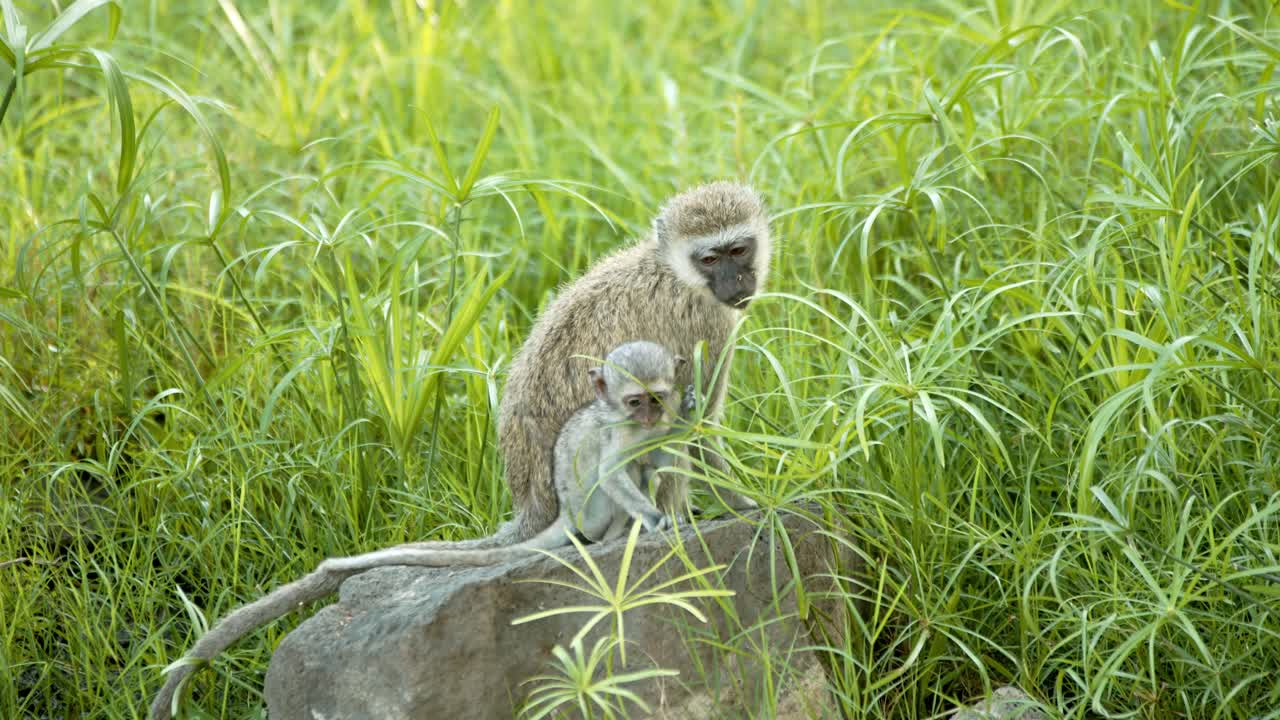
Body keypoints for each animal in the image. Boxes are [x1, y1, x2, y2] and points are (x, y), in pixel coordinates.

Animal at [151, 341, 688, 720]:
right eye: (635, 401)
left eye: (657, 398)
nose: (650, 415)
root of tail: (566, 515)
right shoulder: (618, 433)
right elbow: (614, 469)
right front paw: (654, 518)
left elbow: (660, 460)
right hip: (587, 509)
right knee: (604, 480)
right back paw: (615, 534)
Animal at [495, 180, 770, 546]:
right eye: (710, 259)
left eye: (738, 251)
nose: (734, 282)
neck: (672, 272)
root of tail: (532, 502)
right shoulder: (710, 326)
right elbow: (700, 427)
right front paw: (742, 502)